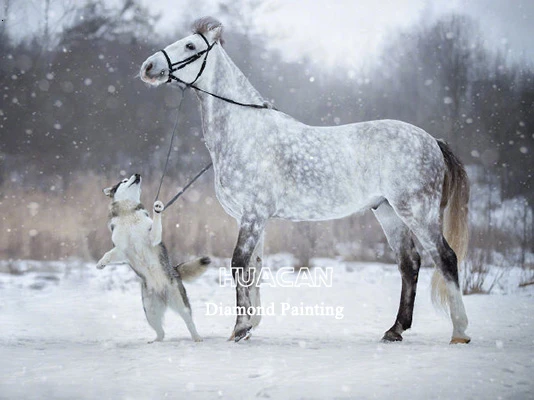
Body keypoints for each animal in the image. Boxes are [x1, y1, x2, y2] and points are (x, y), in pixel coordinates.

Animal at [97, 173, 210, 342]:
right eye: (124, 180)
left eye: (129, 177)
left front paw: (157, 208)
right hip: (150, 312)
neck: (128, 214)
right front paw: (101, 263)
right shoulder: (122, 250)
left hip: (180, 303)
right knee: (161, 332)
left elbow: (155, 226)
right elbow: (109, 253)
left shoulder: (152, 239)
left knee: (189, 322)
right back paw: (155, 341)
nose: (137, 174)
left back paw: (197, 337)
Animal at [139, 17, 474, 346]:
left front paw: (240, 328)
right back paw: (395, 330)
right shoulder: (251, 219)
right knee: (410, 263)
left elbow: (239, 265)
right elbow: (254, 268)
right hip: (389, 212)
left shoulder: (253, 215)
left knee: (445, 258)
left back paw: (459, 332)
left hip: (417, 212)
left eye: (190, 45)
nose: (148, 66)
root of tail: (432, 140)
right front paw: (249, 325)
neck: (245, 132)